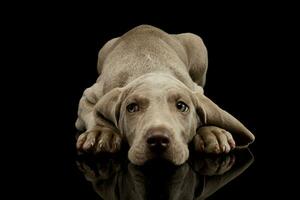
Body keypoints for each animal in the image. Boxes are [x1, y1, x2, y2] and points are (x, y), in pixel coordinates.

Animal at [75, 24, 255, 166]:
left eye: (182, 106)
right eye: (131, 108)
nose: (158, 140)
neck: (150, 69)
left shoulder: (196, 89)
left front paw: (212, 132)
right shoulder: (89, 96)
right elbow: (94, 113)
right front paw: (102, 133)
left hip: (197, 45)